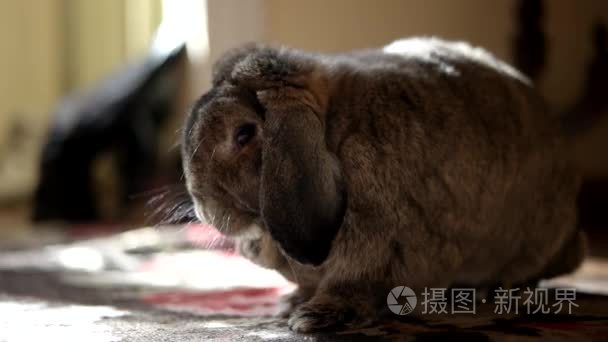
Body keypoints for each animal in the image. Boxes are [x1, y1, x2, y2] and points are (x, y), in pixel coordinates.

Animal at [183, 37, 588, 332]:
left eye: (243, 133)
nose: (204, 209)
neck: (334, 133)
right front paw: (292, 303)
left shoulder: (378, 253)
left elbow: (353, 287)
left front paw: (312, 318)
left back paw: (495, 290)